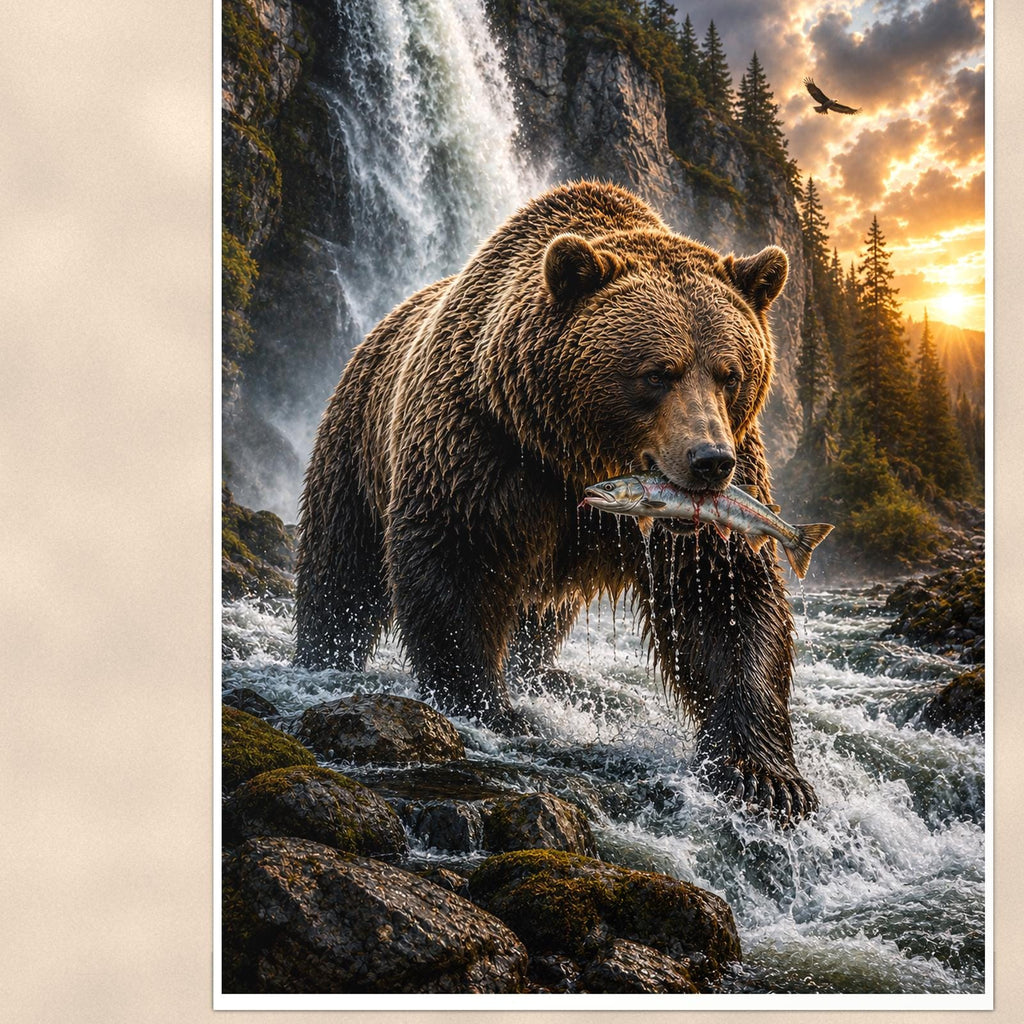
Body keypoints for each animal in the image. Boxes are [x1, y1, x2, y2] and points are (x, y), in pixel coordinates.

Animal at [295, 181, 817, 821]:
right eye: (657, 373)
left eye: (730, 373)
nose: (710, 462)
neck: (572, 453)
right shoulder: (483, 447)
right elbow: (453, 566)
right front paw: (491, 707)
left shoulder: (719, 500)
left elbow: (727, 597)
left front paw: (766, 776)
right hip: (356, 440)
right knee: (340, 566)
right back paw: (325, 654)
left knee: (538, 616)